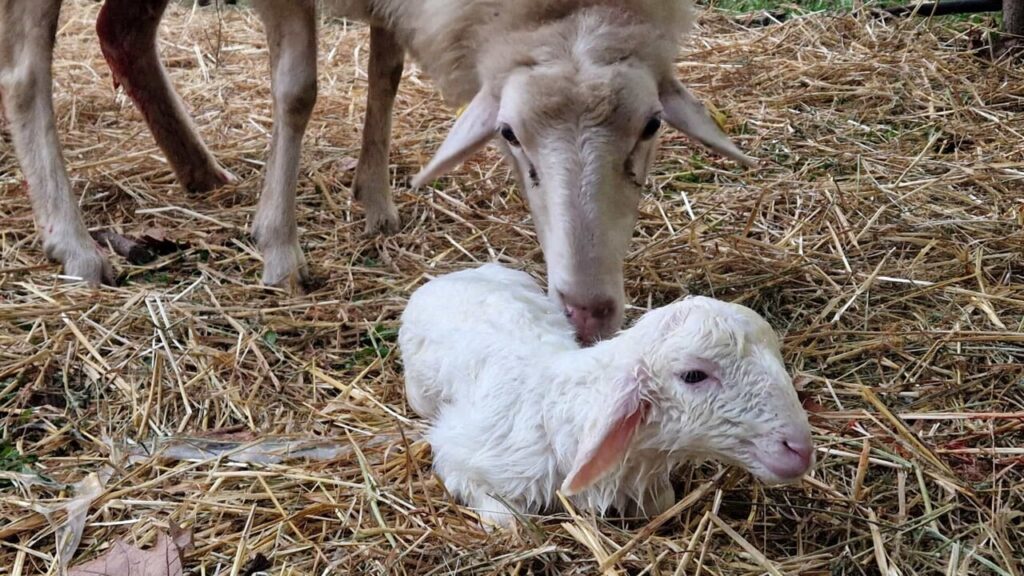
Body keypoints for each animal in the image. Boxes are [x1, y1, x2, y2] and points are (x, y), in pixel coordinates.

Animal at [399, 264, 815, 524]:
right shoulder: (459, 453)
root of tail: (453, 275)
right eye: (694, 375)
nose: (800, 449)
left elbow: (662, 503)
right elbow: (506, 521)